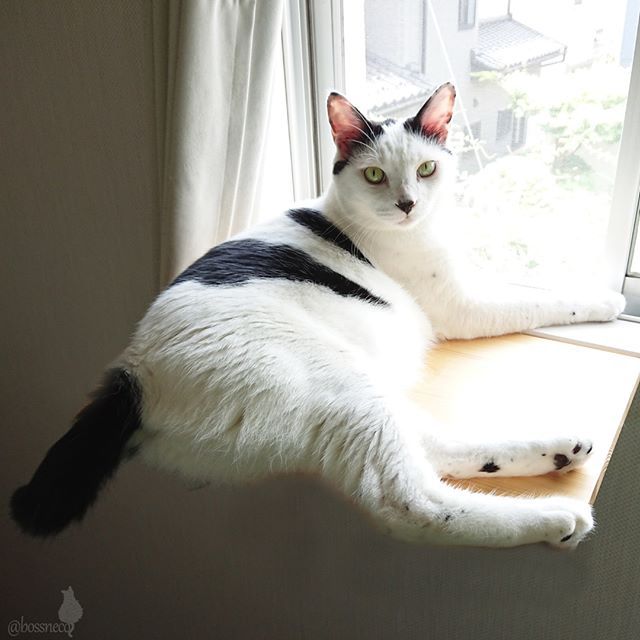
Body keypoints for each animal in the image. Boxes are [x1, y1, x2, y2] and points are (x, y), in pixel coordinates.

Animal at [11, 83, 626, 548]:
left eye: (427, 168)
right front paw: (608, 301)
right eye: (375, 175)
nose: (409, 203)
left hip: (365, 392)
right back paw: (554, 517)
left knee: (431, 445)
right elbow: (537, 298)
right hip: (342, 388)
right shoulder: (462, 305)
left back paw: (559, 449)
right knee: (412, 501)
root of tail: (130, 375)